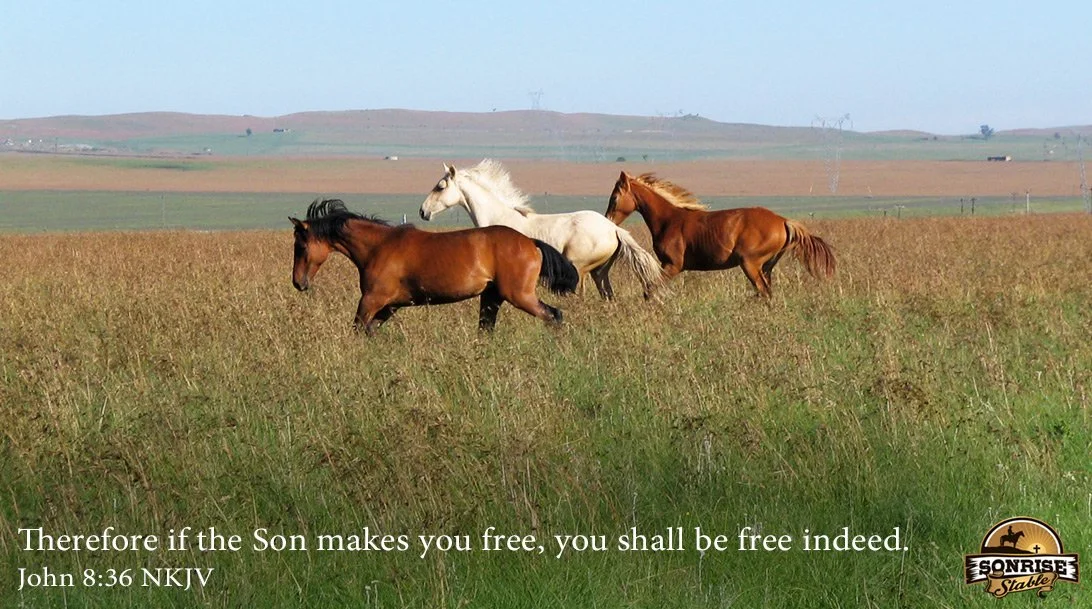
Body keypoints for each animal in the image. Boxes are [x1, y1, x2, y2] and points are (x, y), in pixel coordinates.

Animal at [290, 198, 579, 335]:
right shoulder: (390, 306)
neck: (378, 246)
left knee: (554, 316)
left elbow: (359, 328)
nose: (298, 283)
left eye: (300, 246)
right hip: (491, 297)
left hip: (519, 296)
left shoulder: (372, 299)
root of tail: (530, 242)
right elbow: (370, 330)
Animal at [419, 159, 663, 299]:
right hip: (599, 272)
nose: (423, 211)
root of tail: (613, 228)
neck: (499, 218)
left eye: (440, 187)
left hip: (580, 268)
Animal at [606, 171, 836, 297]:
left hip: (750, 264)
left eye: (615, 197)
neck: (669, 219)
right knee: (767, 292)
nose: (608, 220)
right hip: (766, 266)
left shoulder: (673, 265)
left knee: (763, 291)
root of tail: (782, 221)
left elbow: (650, 289)